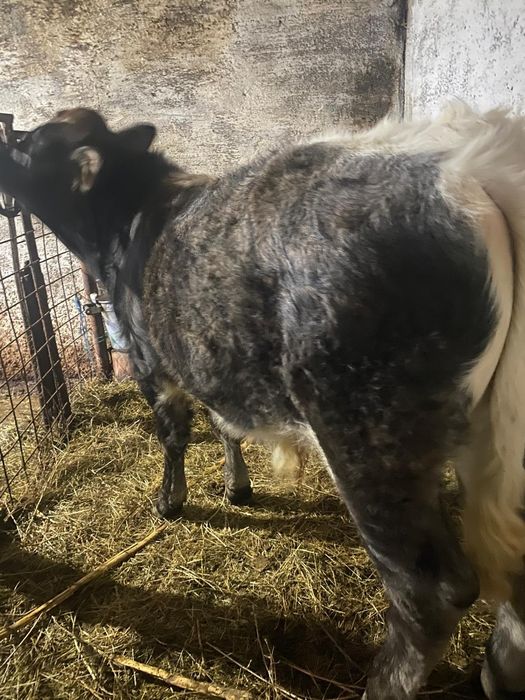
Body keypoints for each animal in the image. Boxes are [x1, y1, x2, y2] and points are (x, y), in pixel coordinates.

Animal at [1, 103, 525, 699]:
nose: (3, 142)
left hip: (369, 430)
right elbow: (224, 424)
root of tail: (465, 162)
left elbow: (174, 433)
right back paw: (498, 675)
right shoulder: (208, 352)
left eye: (29, 143)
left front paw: (170, 502)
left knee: (429, 592)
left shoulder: (150, 360)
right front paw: (237, 487)